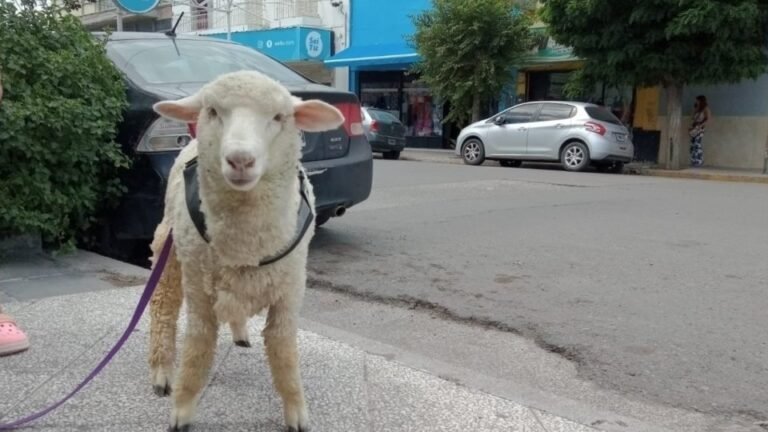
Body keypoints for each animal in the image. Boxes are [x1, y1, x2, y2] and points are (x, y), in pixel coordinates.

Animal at [145, 70, 344, 432]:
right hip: (169, 248)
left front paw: (296, 410)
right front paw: (182, 408)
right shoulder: (199, 293)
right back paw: (162, 372)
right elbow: (197, 348)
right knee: (162, 307)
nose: (240, 160)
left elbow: (283, 350)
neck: (245, 246)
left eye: (279, 117)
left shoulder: (290, 289)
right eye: (213, 111)